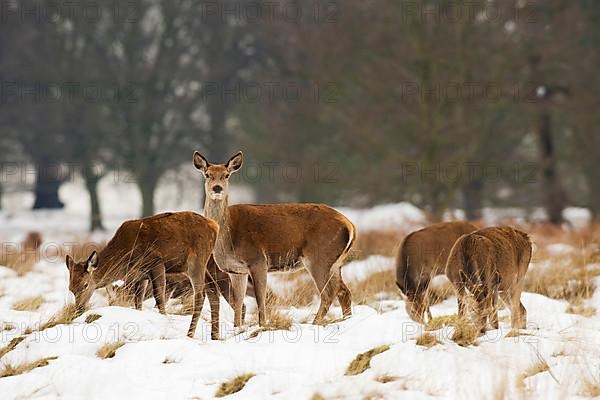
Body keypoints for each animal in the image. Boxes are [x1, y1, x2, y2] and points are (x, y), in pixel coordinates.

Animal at [65, 212, 218, 338]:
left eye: (85, 285)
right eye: (70, 288)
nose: (78, 309)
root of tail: (214, 226)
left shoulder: (156, 262)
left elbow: (159, 297)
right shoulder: (140, 276)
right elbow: (138, 302)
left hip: (196, 262)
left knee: (200, 294)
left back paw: (190, 334)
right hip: (207, 264)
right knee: (213, 290)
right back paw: (214, 335)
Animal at [191, 152, 356, 326]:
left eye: (226, 175)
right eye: (207, 174)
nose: (217, 188)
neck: (228, 238)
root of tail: (350, 225)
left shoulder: (258, 260)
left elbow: (261, 299)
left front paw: (262, 325)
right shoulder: (236, 270)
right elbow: (238, 302)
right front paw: (237, 328)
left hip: (319, 258)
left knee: (328, 294)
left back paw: (315, 323)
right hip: (335, 263)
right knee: (344, 292)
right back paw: (346, 320)